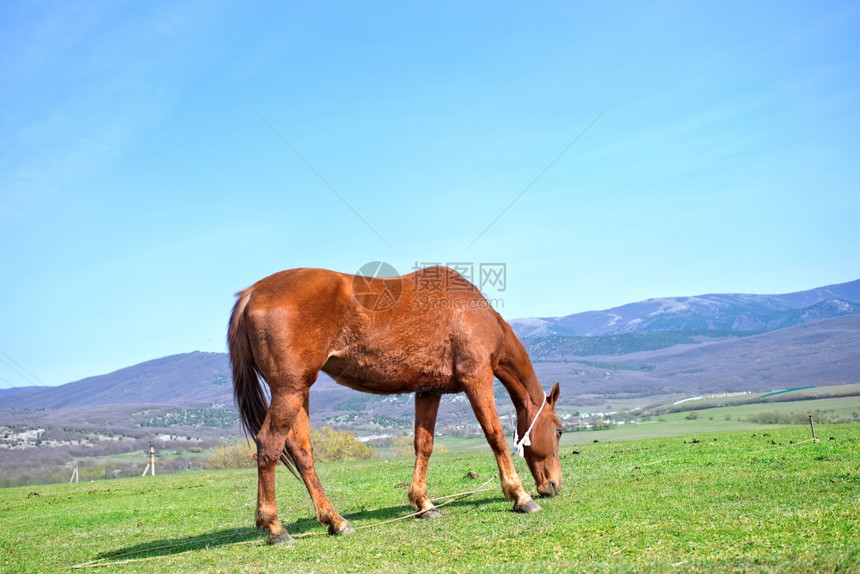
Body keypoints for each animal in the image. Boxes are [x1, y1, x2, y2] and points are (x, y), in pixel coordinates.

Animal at [228, 268, 564, 548]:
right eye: (559, 431)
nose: (554, 485)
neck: (474, 315)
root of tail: (252, 293)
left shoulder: (429, 390)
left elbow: (423, 445)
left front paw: (423, 504)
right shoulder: (477, 379)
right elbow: (494, 436)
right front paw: (519, 496)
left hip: (299, 393)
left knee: (301, 451)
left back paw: (335, 521)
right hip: (289, 391)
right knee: (269, 445)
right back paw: (275, 528)